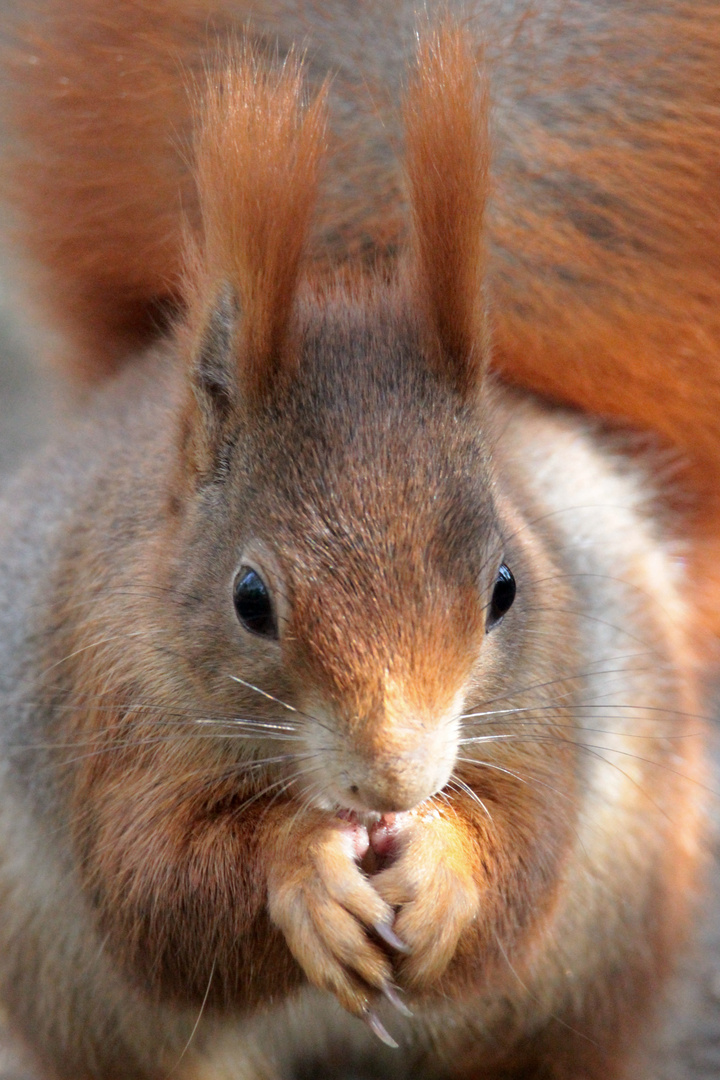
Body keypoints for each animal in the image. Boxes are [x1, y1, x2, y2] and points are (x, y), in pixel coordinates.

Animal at [0, 2, 712, 1080]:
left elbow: (527, 853)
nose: (395, 781)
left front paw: (448, 872)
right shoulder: (101, 698)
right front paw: (303, 870)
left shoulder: (562, 693)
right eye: (250, 599)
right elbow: (157, 892)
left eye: (505, 585)